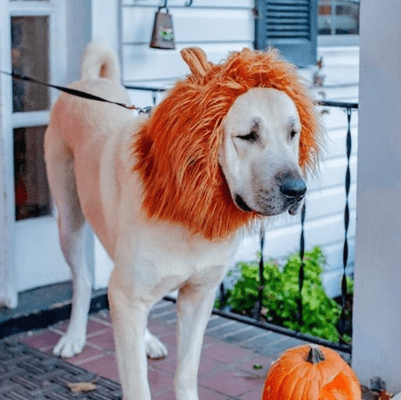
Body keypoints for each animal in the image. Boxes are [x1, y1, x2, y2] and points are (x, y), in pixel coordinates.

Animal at [43, 41, 320, 400]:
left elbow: (186, 372)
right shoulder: (132, 295)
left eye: (293, 133)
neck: (190, 209)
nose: (297, 191)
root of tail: (88, 83)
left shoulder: (198, 296)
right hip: (69, 221)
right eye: (247, 136)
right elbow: (138, 385)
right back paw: (74, 336)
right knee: (85, 279)